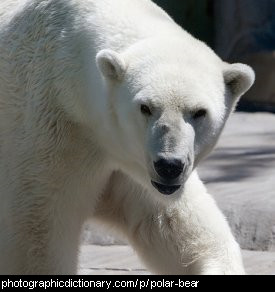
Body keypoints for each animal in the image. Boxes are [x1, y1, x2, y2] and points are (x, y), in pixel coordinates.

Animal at [0, 0, 256, 274]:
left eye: (199, 112)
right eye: (146, 107)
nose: (169, 166)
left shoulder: (131, 161)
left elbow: (176, 225)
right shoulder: (55, 132)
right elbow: (39, 233)